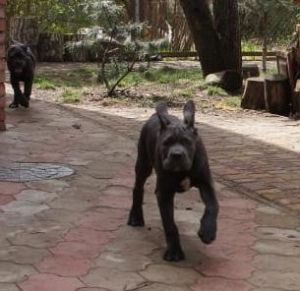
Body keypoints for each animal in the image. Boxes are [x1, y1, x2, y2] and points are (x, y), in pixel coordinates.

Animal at [127, 100, 219, 262]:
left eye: (187, 142)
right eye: (166, 143)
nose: (176, 154)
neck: (183, 171)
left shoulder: (206, 184)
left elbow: (213, 206)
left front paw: (208, 231)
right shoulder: (164, 193)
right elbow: (169, 224)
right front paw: (174, 251)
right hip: (143, 164)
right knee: (138, 188)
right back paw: (135, 217)